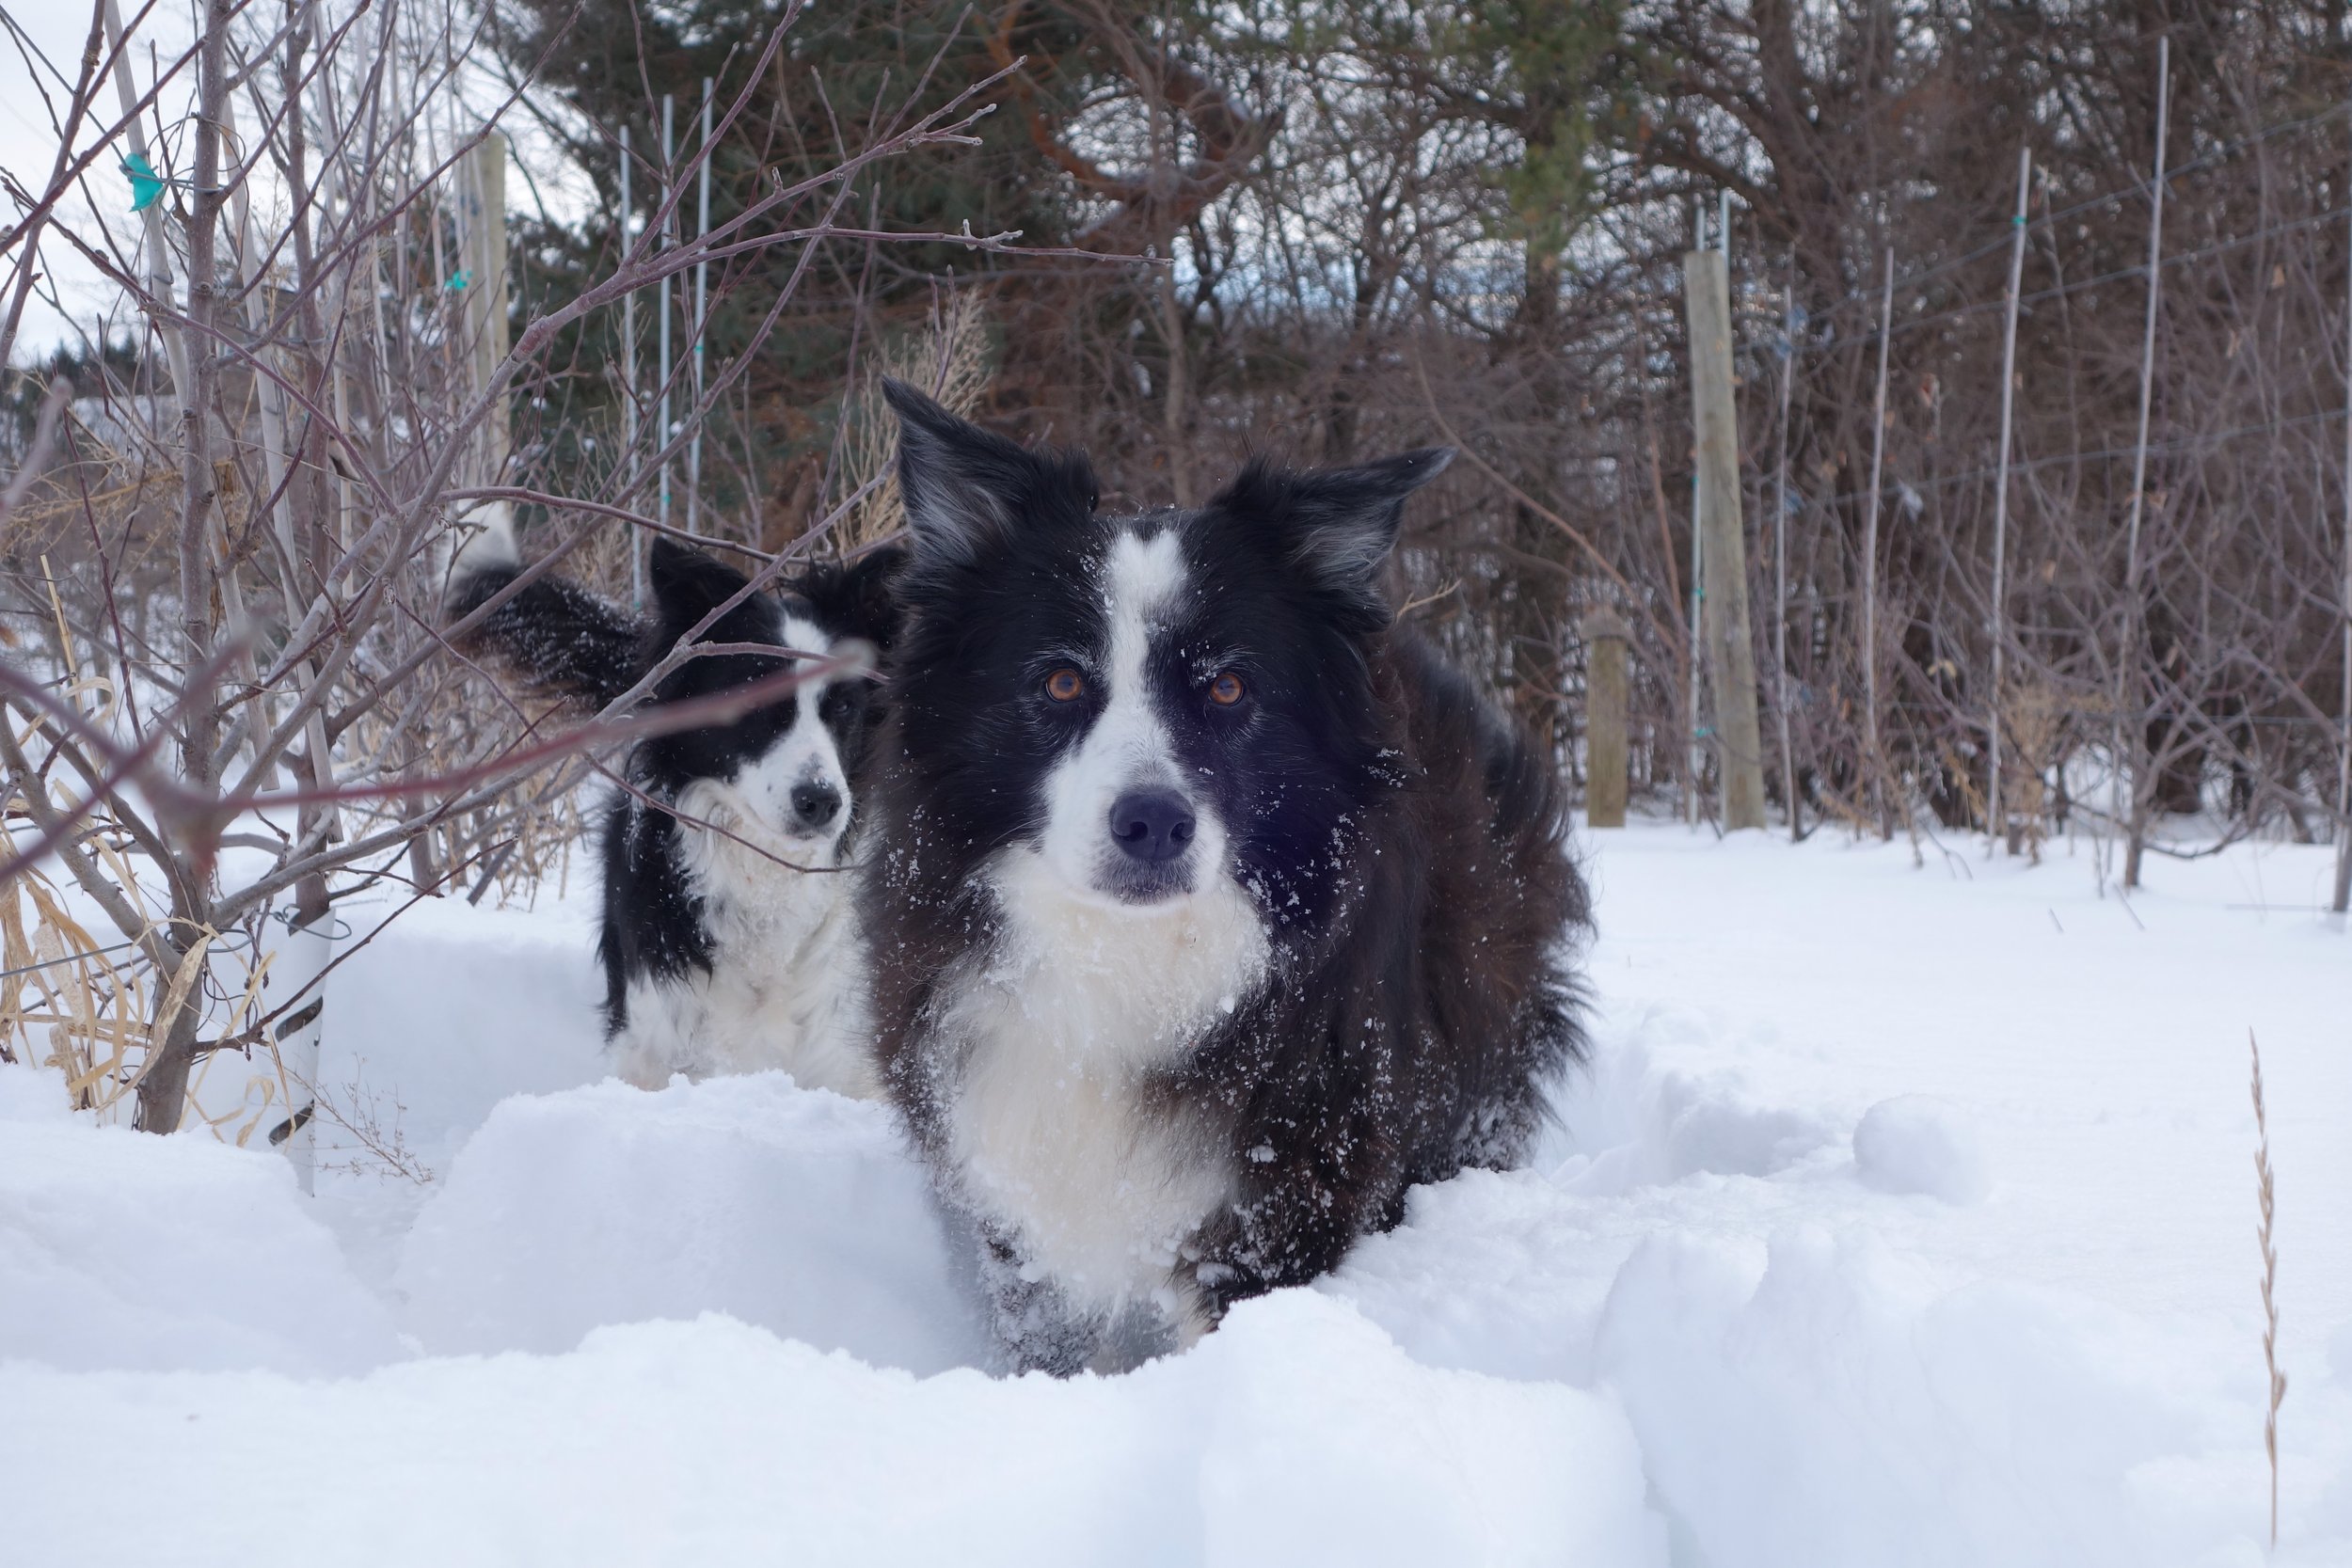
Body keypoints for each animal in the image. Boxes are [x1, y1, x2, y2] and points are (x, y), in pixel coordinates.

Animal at [444, 510, 894, 1100]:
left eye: (843, 707)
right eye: (751, 701)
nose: (820, 802)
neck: (765, 876)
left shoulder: (841, 1045)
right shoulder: (657, 1038)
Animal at [856, 383, 1590, 1372]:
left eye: (1229, 689)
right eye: (1059, 683)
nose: (1153, 823)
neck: (1126, 956)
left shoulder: (1286, 1181)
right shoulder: (1012, 1174)